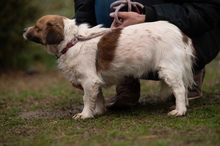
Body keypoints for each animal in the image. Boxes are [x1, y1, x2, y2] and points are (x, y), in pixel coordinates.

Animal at [22, 15, 194, 119]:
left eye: (37, 27)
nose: (23, 30)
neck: (72, 41)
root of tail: (182, 34)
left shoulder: (89, 80)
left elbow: (87, 98)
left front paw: (85, 114)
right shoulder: (94, 81)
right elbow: (97, 97)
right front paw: (97, 112)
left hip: (168, 69)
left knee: (180, 89)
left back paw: (179, 110)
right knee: (183, 88)